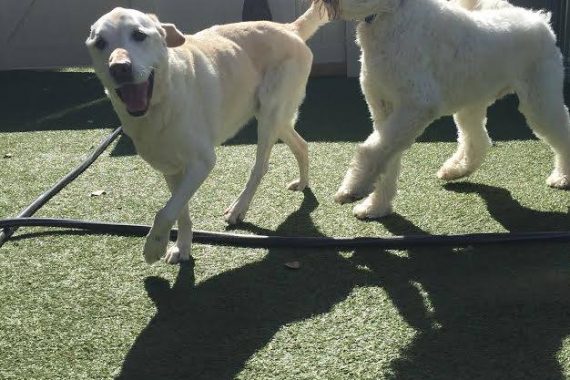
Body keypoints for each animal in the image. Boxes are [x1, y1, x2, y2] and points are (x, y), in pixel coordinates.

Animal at [84, 4, 324, 264]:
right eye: (100, 43)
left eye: (139, 35)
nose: (119, 68)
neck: (161, 103)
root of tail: (290, 28)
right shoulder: (172, 169)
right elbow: (179, 211)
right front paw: (181, 247)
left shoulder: (203, 162)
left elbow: (165, 212)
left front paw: (154, 246)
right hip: (276, 120)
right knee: (301, 145)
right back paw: (302, 182)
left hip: (270, 117)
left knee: (261, 166)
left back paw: (238, 208)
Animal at [316, 0, 568, 218]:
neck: (390, 13)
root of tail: (539, 19)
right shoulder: (385, 112)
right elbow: (385, 156)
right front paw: (375, 207)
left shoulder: (417, 105)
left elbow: (370, 150)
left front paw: (353, 188)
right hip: (471, 105)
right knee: (478, 140)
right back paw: (457, 170)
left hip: (541, 103)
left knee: (561, 134)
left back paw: (562, 176)